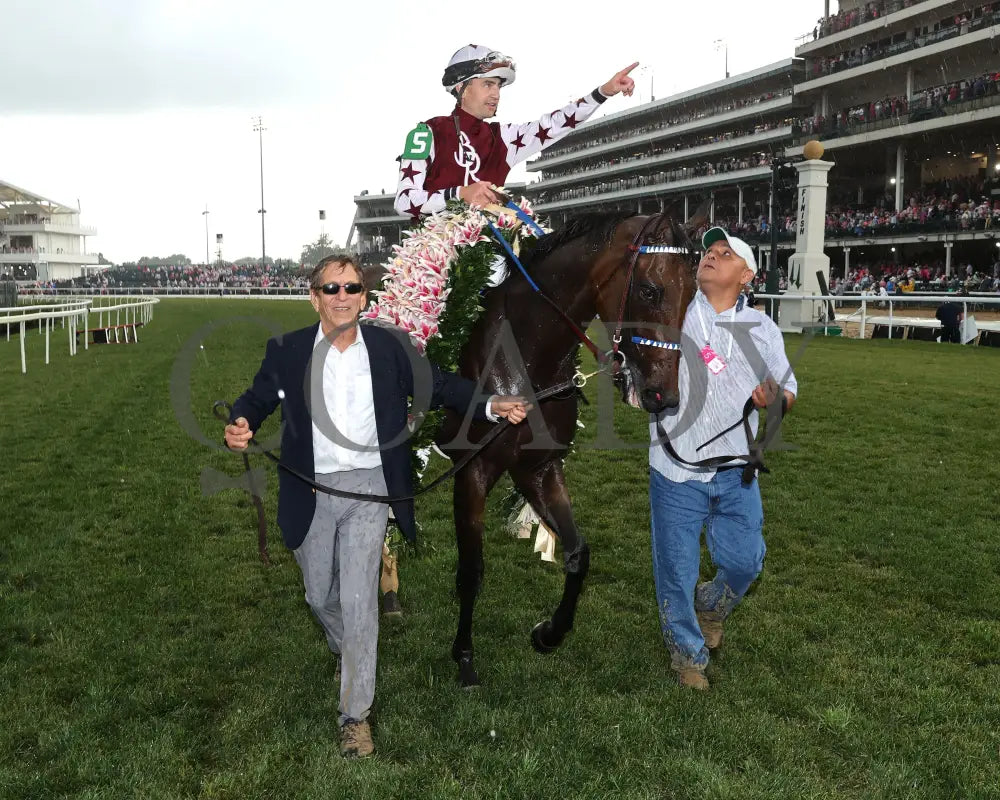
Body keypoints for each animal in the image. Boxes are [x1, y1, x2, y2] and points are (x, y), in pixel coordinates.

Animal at [438, 203, 712, 684]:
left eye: (693, 293)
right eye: (649, 290)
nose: (664, 395)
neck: (522, 359)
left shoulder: (538, 468)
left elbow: (578, 553)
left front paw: (550, 632)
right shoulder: (471, 471)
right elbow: (471, 569)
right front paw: (465, 655)